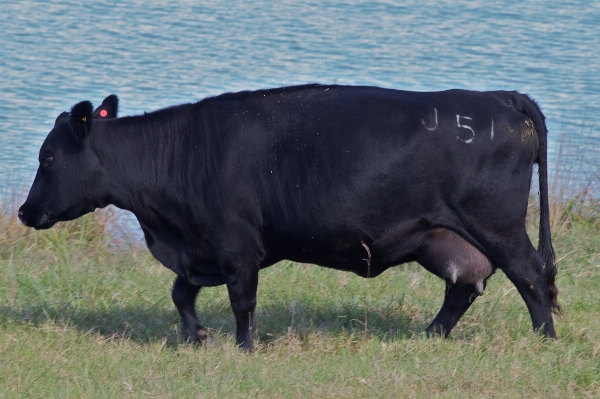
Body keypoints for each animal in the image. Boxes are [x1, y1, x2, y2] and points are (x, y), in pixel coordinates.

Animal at [17, 85, 556, 350]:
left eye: (48, 157)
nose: (23, 211)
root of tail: (499, 98)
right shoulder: (202, 245)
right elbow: (180, 293)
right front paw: (194, 337)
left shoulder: (235, 243)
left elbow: (242, 301)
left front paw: (244, 348)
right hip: (443, 235)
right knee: (464, 287)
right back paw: (430, 336)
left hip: (498, 226)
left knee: (532, 276)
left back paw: (544, 338)